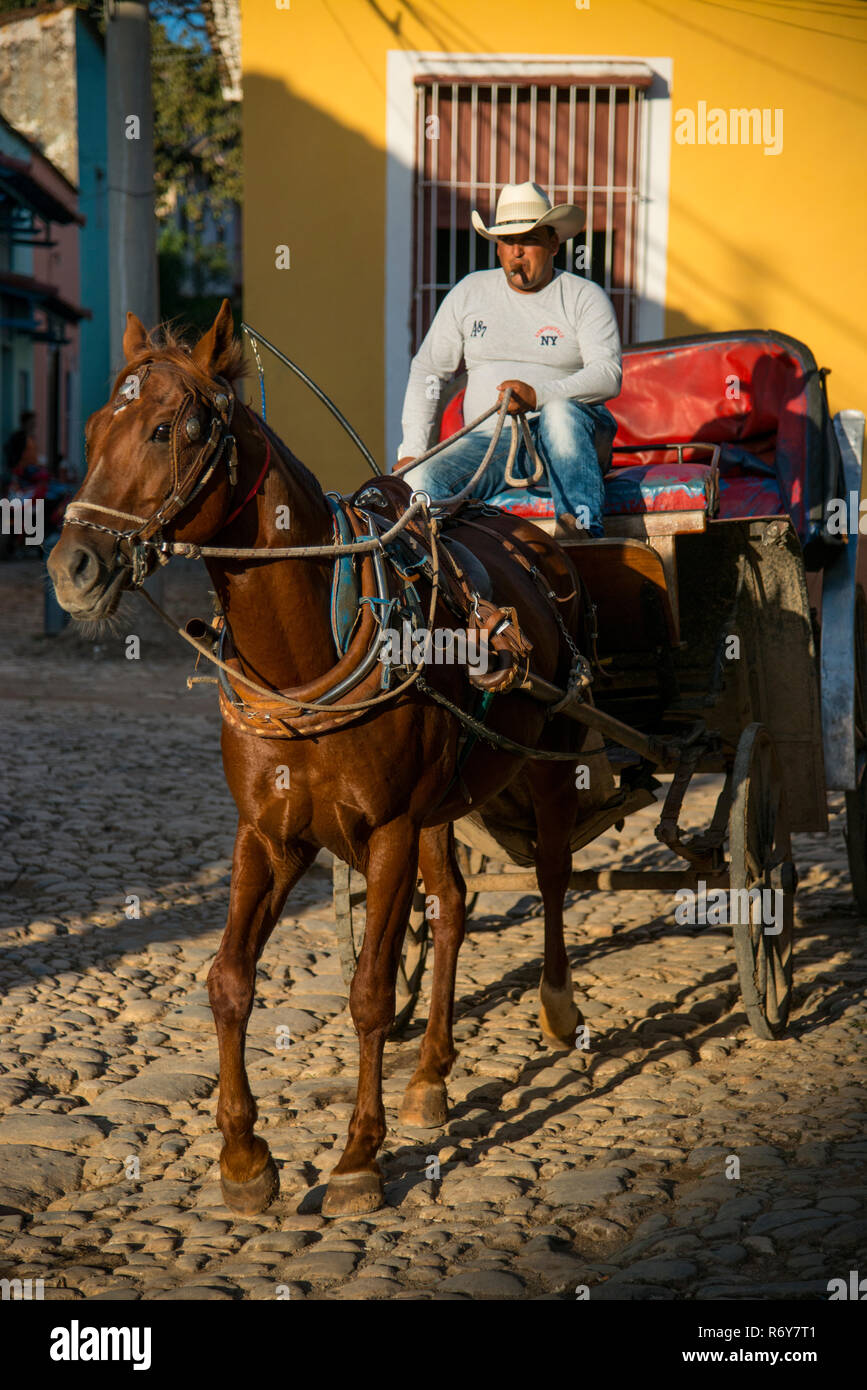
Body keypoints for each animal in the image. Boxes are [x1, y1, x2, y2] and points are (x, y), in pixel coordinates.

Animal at [47, 301, 608, 1217]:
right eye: (95, 427)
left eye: (165, 429)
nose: (72, 569)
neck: (304, 658)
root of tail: (528, 534)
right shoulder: (269, 834)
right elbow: (228, 978)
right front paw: (244, 1159)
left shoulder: (384, 831)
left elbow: (370, 993)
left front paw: (355, 1160)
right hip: (442, 801)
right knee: (451, 907)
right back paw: (430, 1077)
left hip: (549, 751)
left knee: (555, 873)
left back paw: (558, 1008)